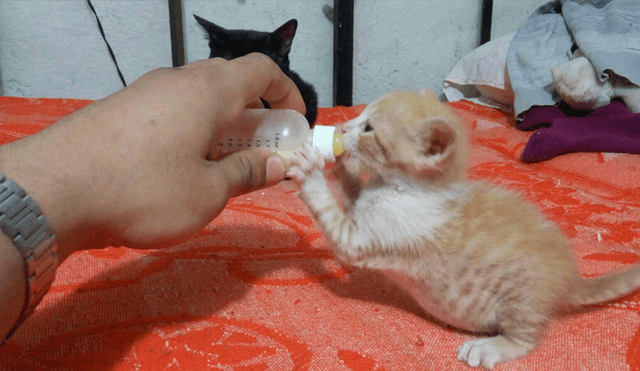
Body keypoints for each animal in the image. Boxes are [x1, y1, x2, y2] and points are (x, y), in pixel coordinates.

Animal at [288, 89, 640, 370]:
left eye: (368, 127)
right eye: (359, 118)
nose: (343, 127)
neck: (400, 187)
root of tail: (571, 279)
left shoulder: (368, 238)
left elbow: (334, 220)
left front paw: (311, 169)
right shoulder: (362, 211)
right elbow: (351, 195)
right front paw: (341, 164)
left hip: (522, 301)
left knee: (526, 338)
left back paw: (490, 347)